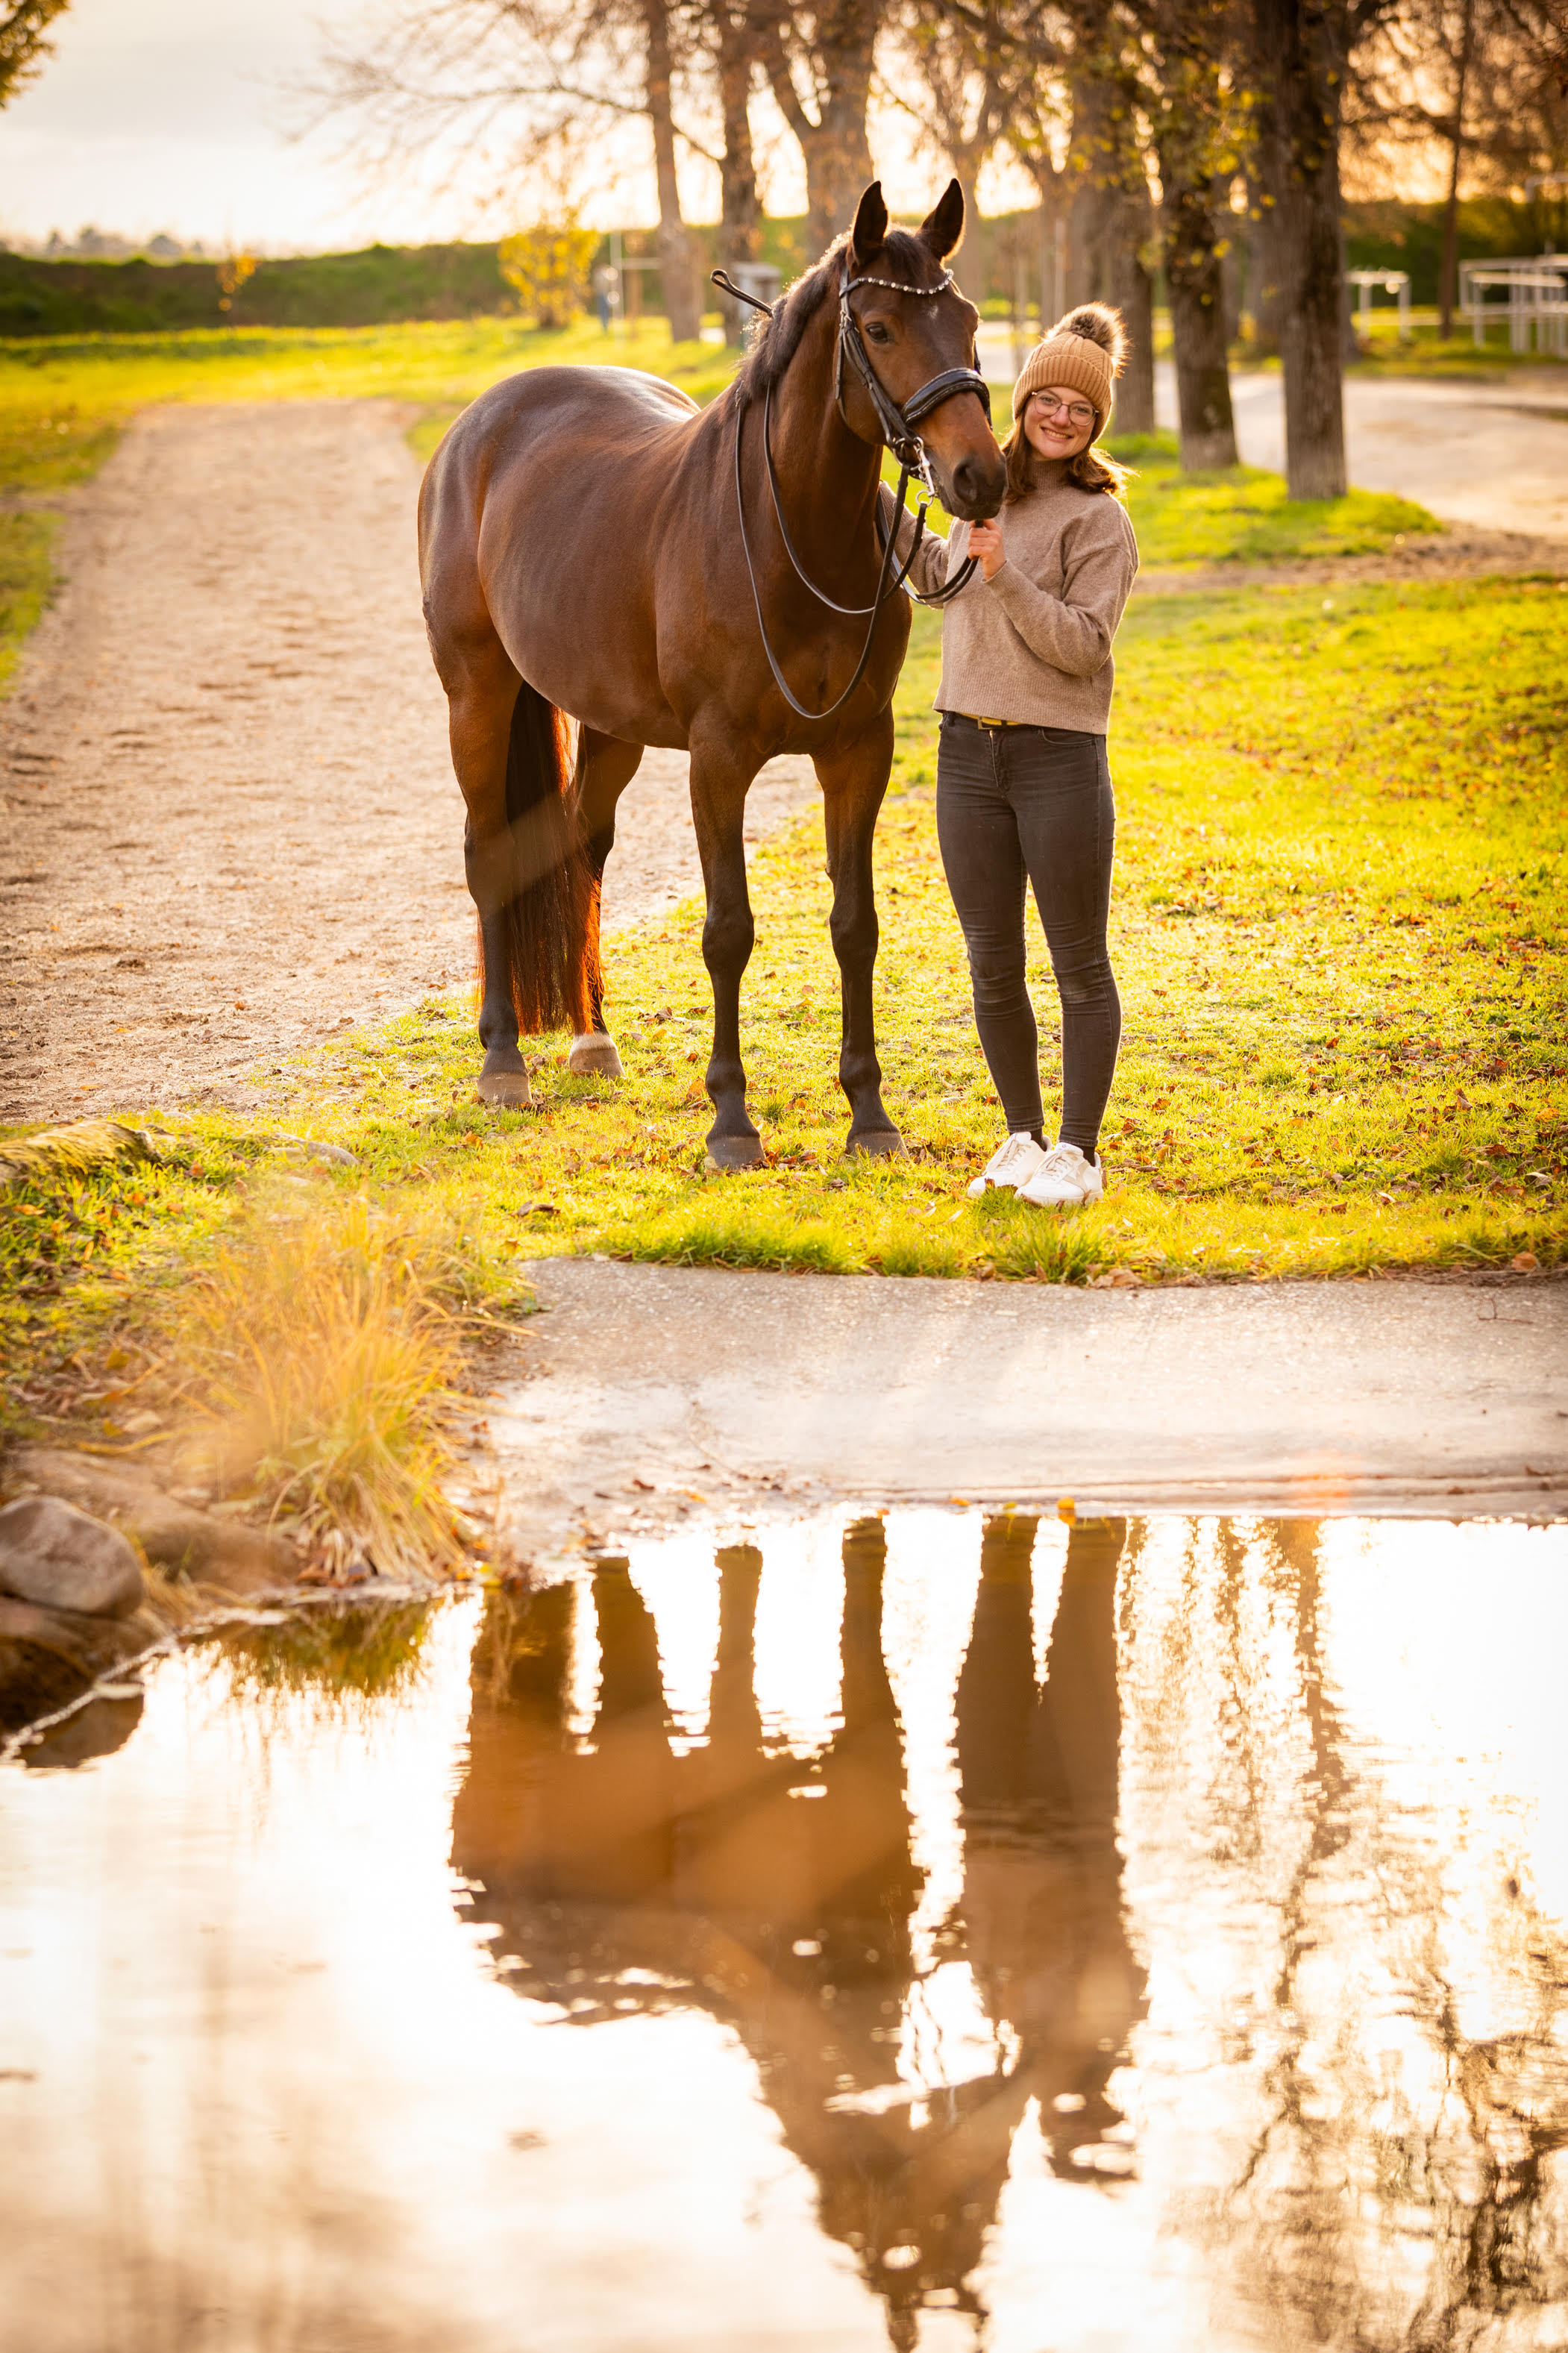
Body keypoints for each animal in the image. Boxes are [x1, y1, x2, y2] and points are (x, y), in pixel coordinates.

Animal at [417, 178, 1006, 1167]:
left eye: (965, 320)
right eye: (878, 327)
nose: (979, 477)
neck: (789, 532)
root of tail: (480, 423)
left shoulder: (859, 751)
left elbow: (855, 927)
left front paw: (868, 1114)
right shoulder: (717, 761)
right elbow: (727, 931)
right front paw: (730, 1120)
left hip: (607, 722)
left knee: (580, 846)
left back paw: (591, 1038)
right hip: (477, 695)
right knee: (489, 849)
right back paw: (502, 1060)